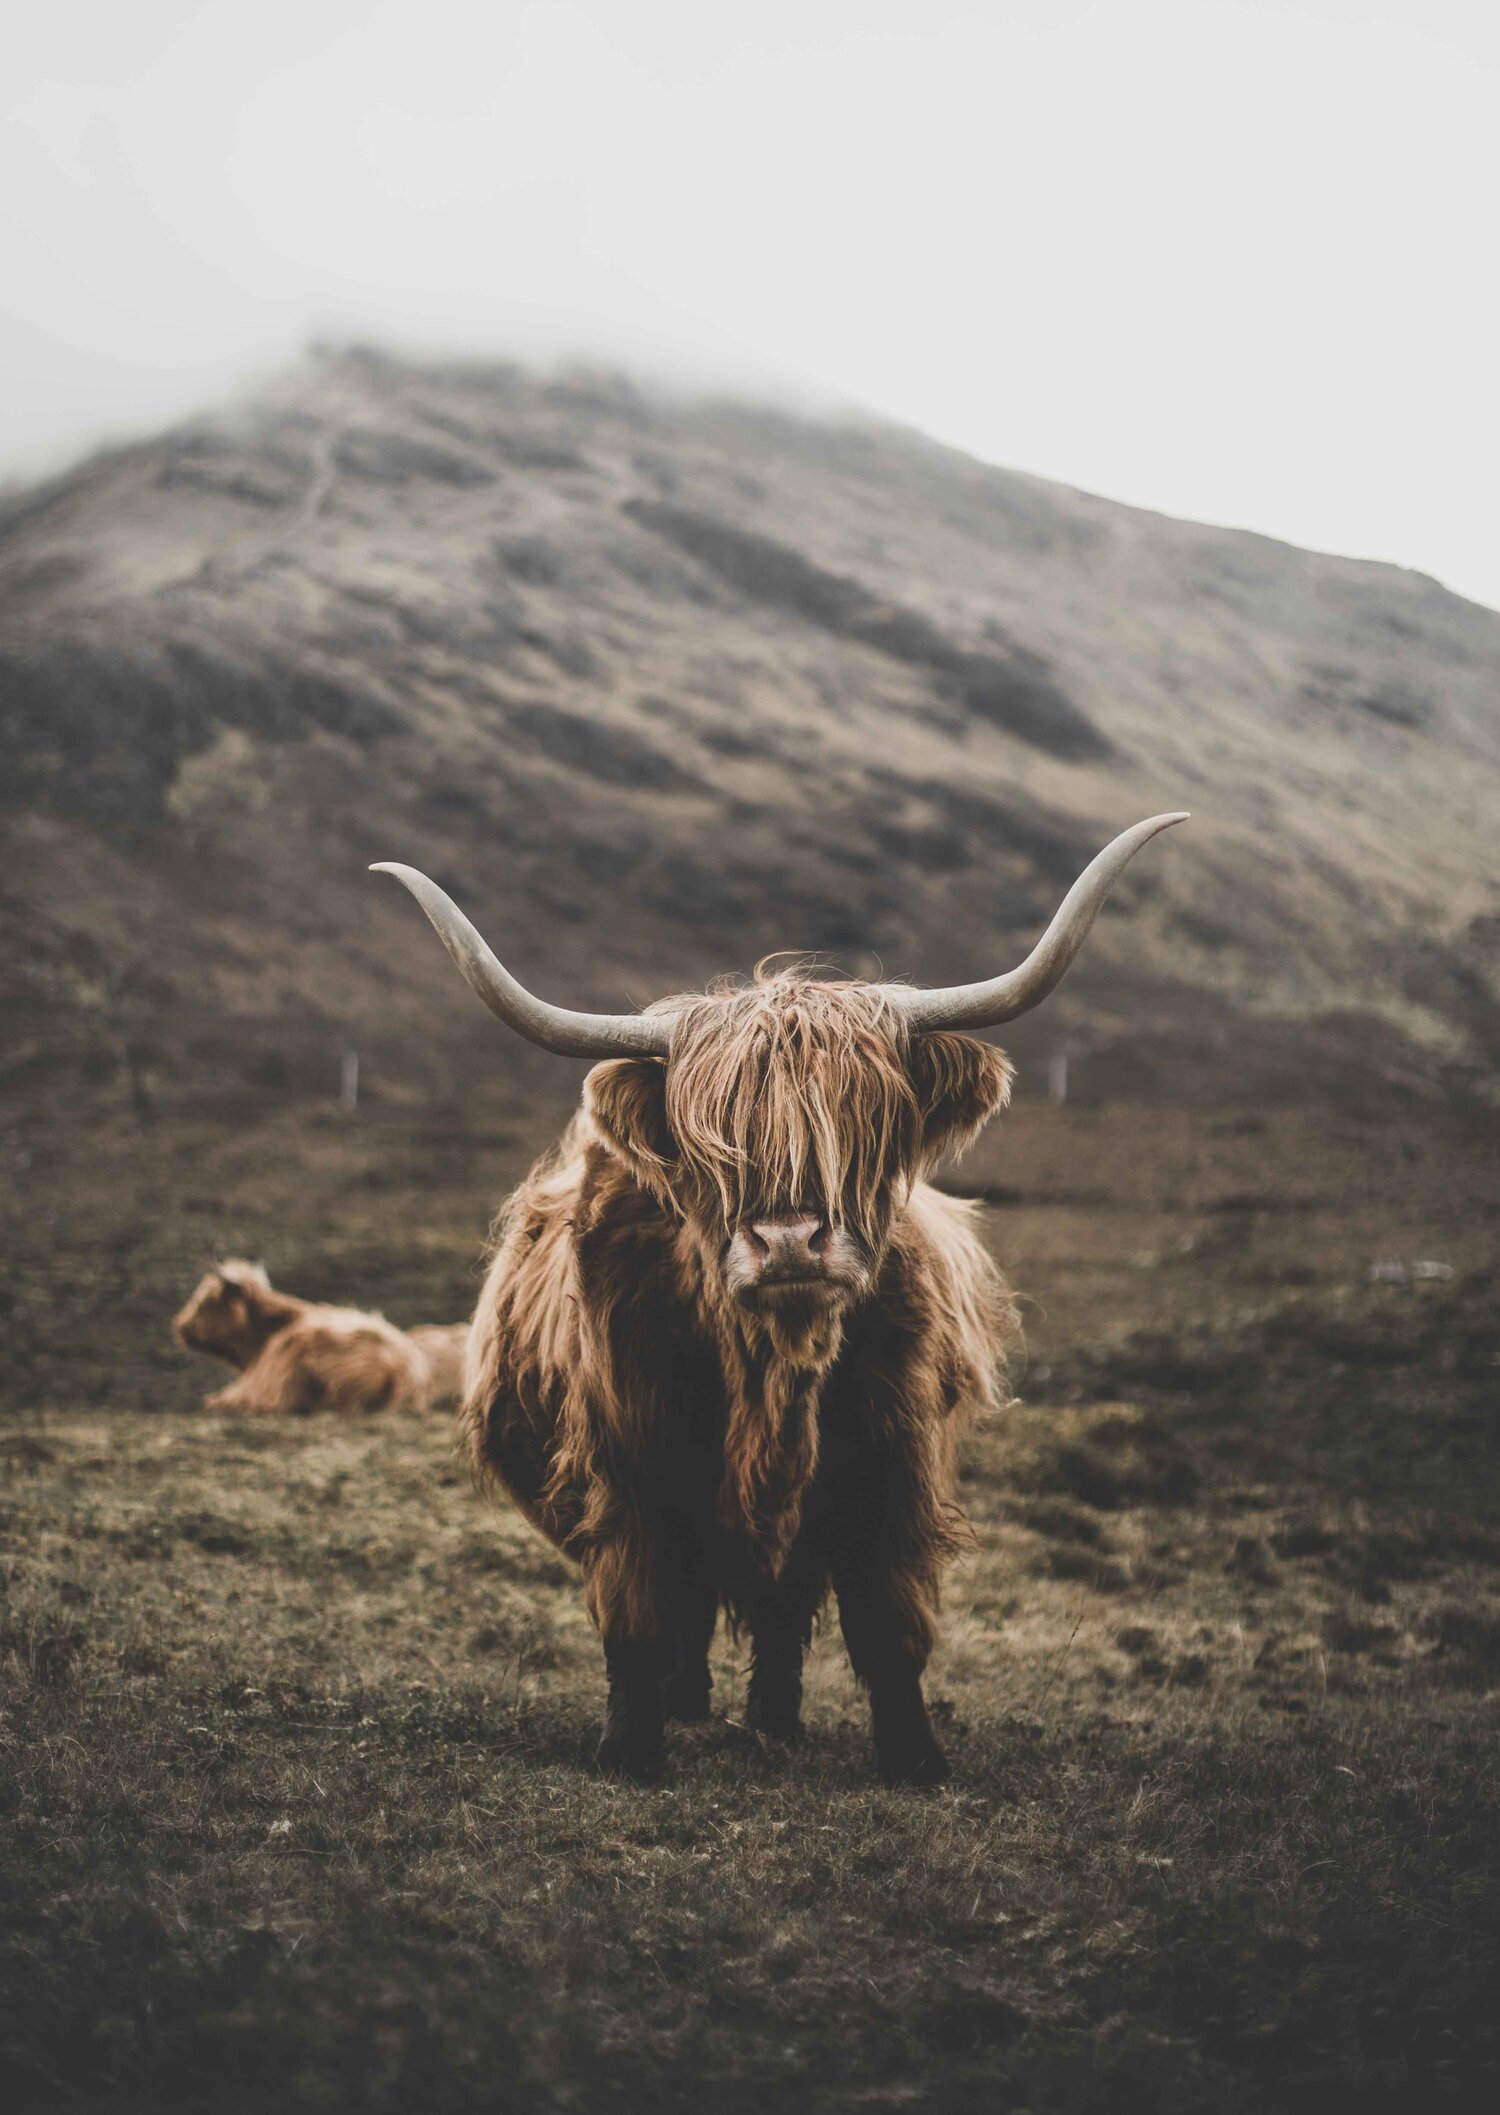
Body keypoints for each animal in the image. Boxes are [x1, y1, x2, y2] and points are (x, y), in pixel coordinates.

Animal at [374, 813, 1186, 1783]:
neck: (773, 1371)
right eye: (711, 1146)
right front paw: (630, 1748)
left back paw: (773, 1717)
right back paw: (693, 1704)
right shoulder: (627, 1459)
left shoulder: (894, 1463)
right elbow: (642, 1609)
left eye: (864, 1129)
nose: (791, 1241)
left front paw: (913, 1756)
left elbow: (886, 1619)